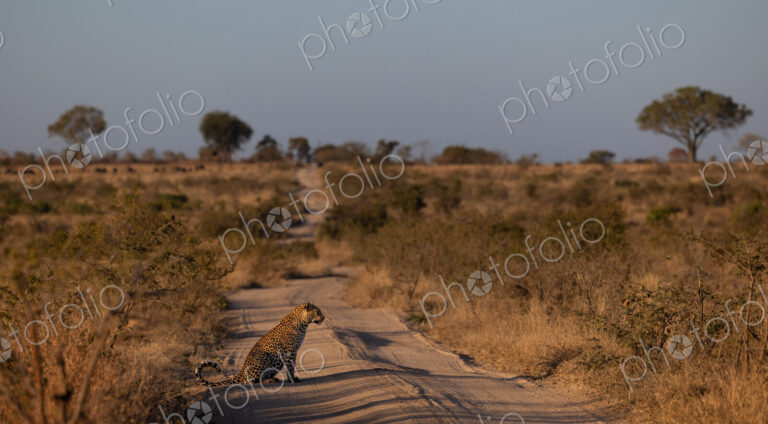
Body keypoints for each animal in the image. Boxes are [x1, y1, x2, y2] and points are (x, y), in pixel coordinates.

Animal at [196, 303, 325, 387]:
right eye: (317, 312)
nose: (324, 318)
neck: (303, 324)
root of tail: (241, 372)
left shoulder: (293, 351)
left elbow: (292, 366)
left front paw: (293, 378)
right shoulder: (289, 351)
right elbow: (290, 367)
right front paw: (292, 380)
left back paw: (272, 379)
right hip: (265, 357)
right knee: (250, 381)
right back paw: (269, 381)